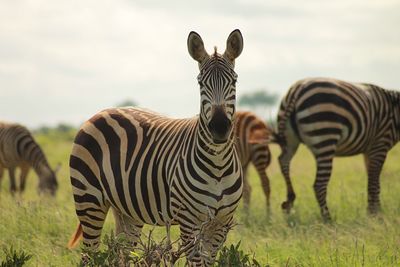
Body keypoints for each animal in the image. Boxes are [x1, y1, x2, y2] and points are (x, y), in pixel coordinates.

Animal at [67, 29, 244, 266]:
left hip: (126, 210)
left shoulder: (221, 224)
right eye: (200, 84)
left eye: (234, 81)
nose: (219, 128)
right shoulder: (188, 221)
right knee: (90, 255)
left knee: (119, 253)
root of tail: (102, 111)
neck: (218, 165)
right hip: (88, 200)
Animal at [274, 76, 400, 221]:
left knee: (283, 160)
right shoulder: (380, 145)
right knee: (319, 185)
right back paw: (328, 220)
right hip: (325, 137)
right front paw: (376, 215)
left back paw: (289, 201)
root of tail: (297, 89)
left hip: (290, 140)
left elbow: (373, 181)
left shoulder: (369, 150)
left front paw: (373, 213)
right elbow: (374, 183)